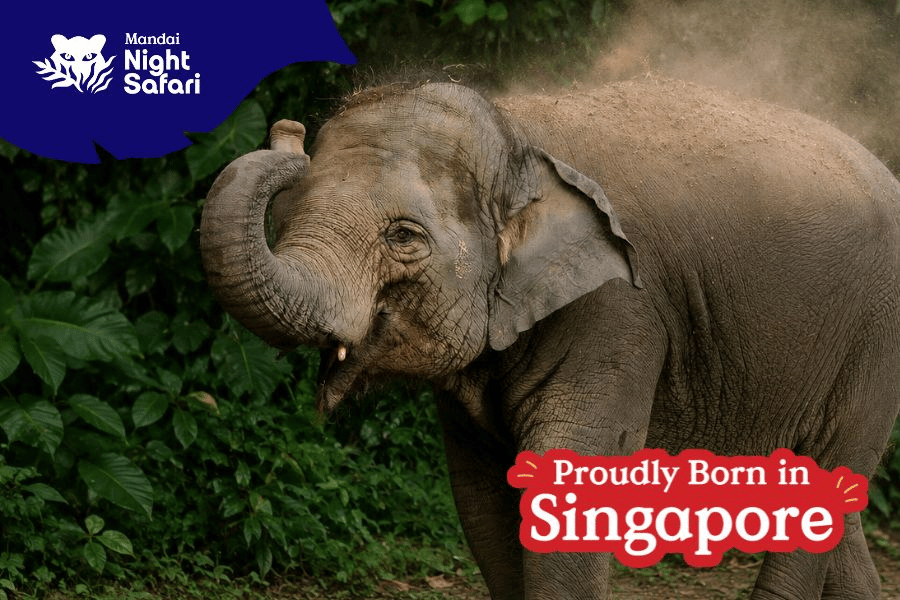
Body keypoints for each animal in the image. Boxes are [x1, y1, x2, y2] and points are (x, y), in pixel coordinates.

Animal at [200, 78, 900, 599]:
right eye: (288, 214)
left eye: (403, 236)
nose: (287, 131)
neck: (519, 137)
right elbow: (481, 495)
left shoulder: (620, 311)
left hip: (878, 339)